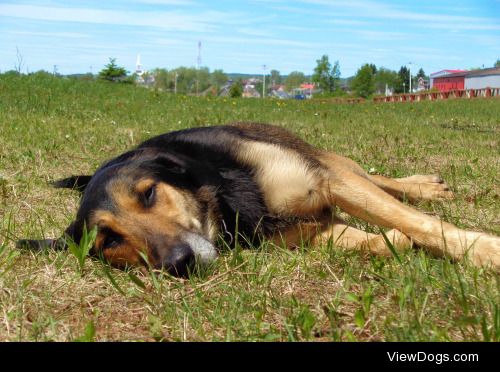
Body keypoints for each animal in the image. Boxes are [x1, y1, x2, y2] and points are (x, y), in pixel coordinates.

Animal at [17, 123, 500, 276]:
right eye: (111, 242)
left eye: (149, 193)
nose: (180, 263)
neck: (229, 204)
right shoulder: (296, 230)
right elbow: (358, 235)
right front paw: (384, 243)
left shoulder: (325, 178)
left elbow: (417, 221)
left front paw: (483, 250)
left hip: (332, 161)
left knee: (378, 180)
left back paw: (424, 186)